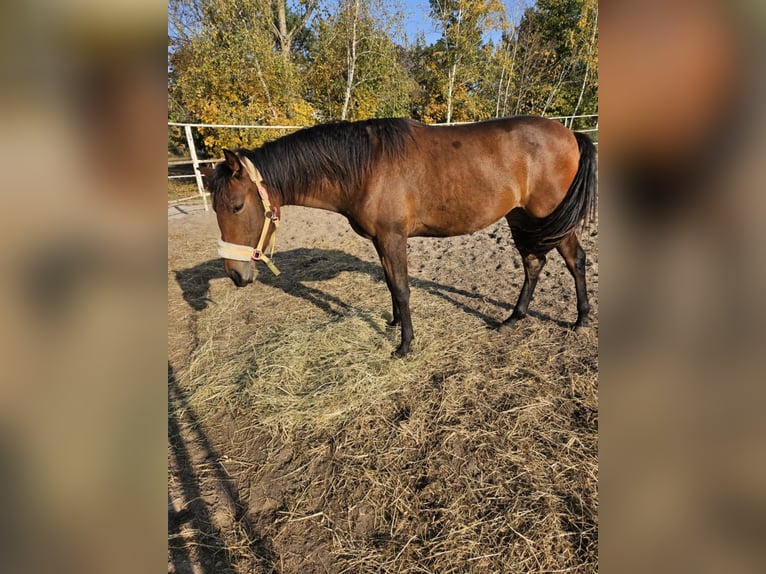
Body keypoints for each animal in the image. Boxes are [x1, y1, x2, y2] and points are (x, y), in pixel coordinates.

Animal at [206, 117, 600, 358]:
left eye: (237, 206)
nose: (236, 275)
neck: (364, 167)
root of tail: (571, 134)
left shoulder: (393, 237)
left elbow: (402, 287)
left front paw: (405, 344)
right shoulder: (381, 240)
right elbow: (389, 283)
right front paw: (394, 323)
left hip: (550, 218)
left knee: (575, 260)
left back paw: (581, 320)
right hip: (520, 218)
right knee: (534, 263)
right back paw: (514, 318)